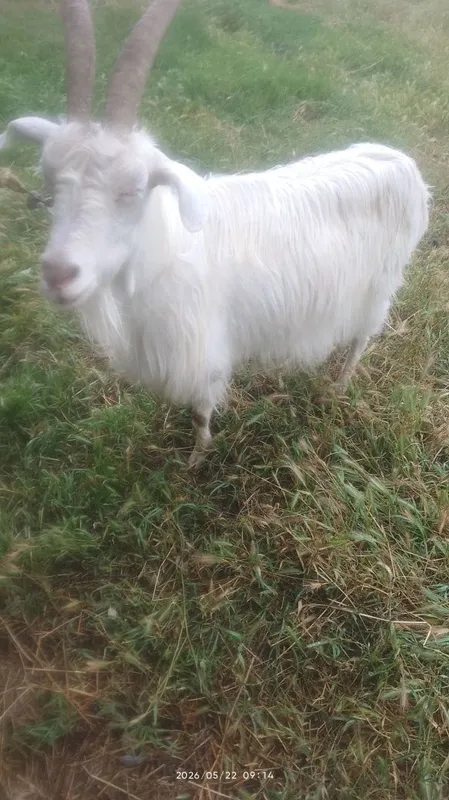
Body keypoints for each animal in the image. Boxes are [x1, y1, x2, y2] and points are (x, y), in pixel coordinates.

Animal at [0, 0, 430, 467]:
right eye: (49, 180)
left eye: (133, 189)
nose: (59, 274)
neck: (166, 252)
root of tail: (401, 162)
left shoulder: (203, 349)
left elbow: (200, 411)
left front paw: (196, 459)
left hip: (380, 284)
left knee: (363, 336)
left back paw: (338, 386)